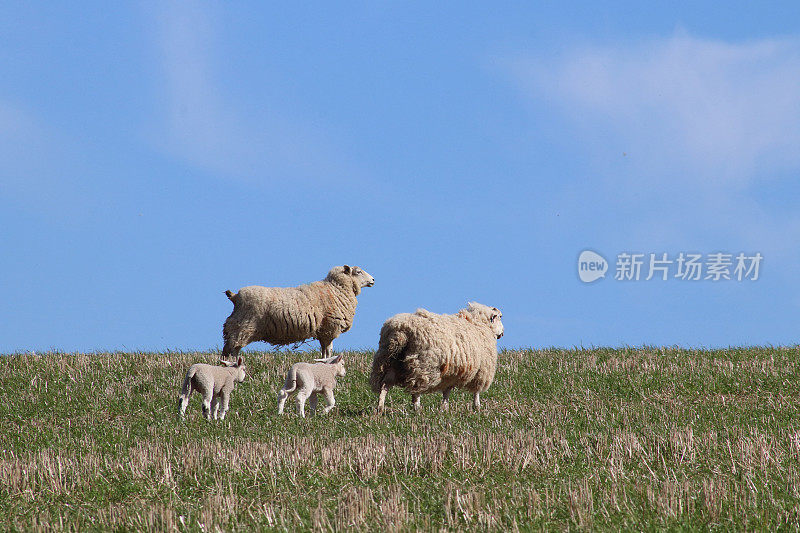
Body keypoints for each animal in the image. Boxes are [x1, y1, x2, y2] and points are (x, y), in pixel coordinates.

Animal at [222, 264, 376, 360]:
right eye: (358, 272)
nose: (373, 280)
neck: (336, 288)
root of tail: (235, 296)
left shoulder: (323, 331)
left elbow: (324, 350)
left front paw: (322, 362)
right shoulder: (330, 328)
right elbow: (328, 349)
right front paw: (328, 363)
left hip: (235, 325)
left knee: (228, 348)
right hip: (243, 326)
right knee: (233, 347)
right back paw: (234, 364)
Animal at [368, 300, 500, 412]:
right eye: (500, 316)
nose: (502, 333)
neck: (477, 322)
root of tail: (400, 331)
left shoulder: (452, 373)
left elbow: (447, 392)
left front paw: (445, 409)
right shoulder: (483, 370)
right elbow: (476, 392)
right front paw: (477, 407)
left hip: (389, 360)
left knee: (385, 385)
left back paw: (380, 407)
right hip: (423, 365)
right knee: (416, 390)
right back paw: (417, 409)